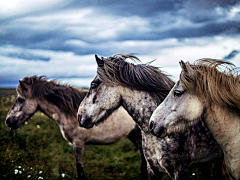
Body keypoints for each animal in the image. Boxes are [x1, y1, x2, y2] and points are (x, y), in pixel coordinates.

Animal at [6, 76, 148, 180]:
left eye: (20, 99)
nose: (7, 121)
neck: (70, 112)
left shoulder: (78, 143)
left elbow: (80, 168)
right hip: (133, 135)